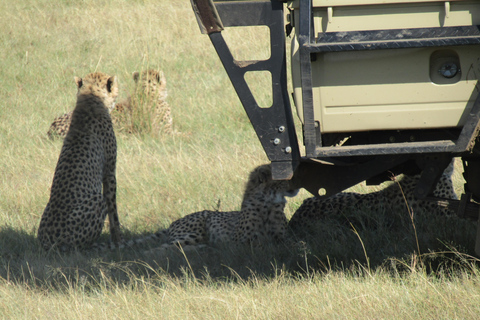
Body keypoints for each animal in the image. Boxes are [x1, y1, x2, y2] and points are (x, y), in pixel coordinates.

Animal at [39, 71, 122, 251]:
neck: (90, 100)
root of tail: (48, 242)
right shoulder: (109, 171)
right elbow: (113, 210)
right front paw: (118, 239)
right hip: (97, 200)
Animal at [96, 165, 300, 252]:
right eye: (285, 176)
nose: (297, 182)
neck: (269, 204)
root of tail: (173, 223)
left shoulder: (283, 237)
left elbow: (291, 243)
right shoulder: (239, 242)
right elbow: (258, 243)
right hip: (194, 231)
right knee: (160, 248)